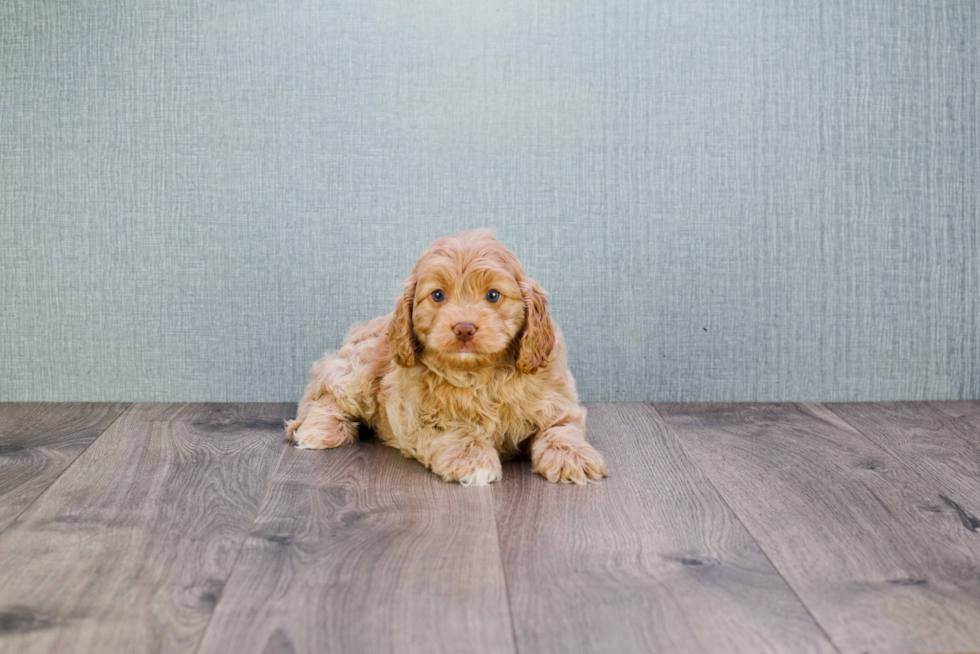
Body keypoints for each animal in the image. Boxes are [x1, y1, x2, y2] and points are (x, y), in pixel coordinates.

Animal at [284, 231, 604, 486]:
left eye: (493, 295)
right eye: (437, 295)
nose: (464, 328)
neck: (481, 373)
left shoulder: (556, 402)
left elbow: (561, 430)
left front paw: (572, 458)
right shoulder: (424, 416)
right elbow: (457, 433)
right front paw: (474, 462)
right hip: (359, 370)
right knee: (324, 393)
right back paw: (319, 430)